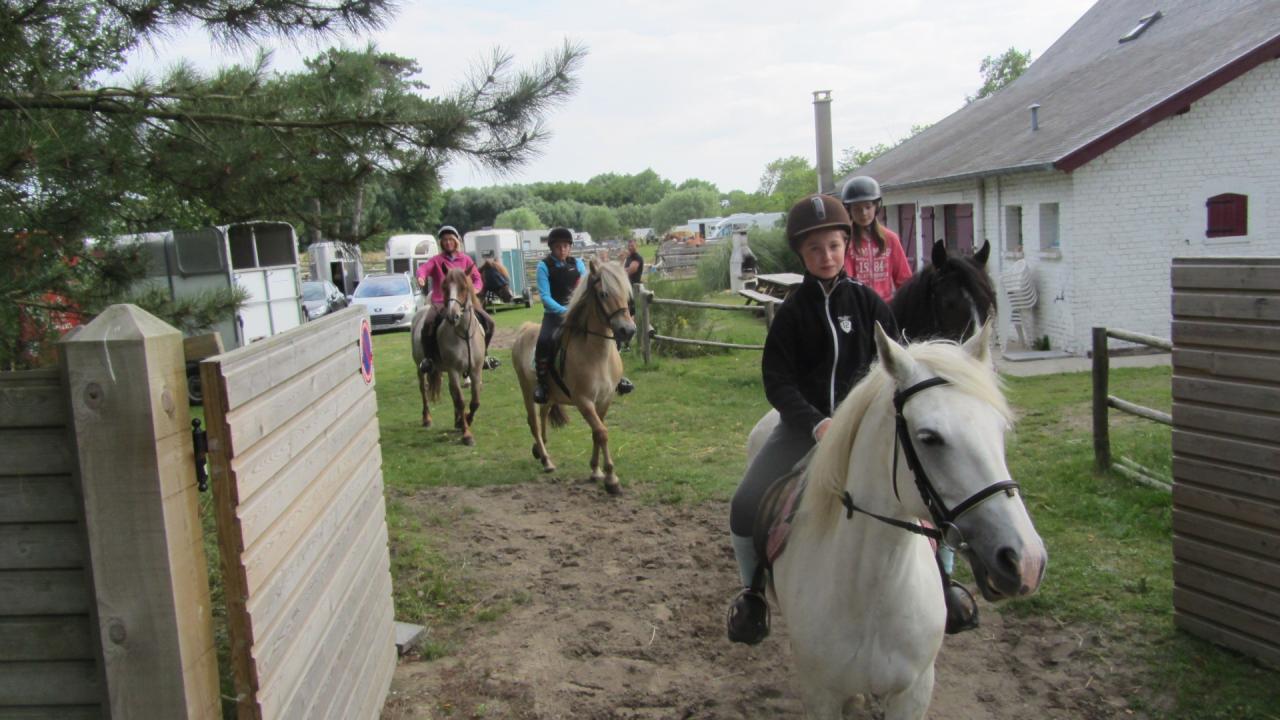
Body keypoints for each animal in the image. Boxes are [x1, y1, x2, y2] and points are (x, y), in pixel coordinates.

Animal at [412, 263, 486, 443]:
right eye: (445, 287)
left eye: (464, 287)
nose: (453, 316)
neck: (463, 333)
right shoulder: (454, 370)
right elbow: (460, 400)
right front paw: (467, 434)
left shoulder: (475, 370)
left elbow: (475, 401)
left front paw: (465, 420)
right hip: (420, 367)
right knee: (423, 390)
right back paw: (427, 419)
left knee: (451, 392)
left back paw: (457, 420)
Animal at [512, 258, 637, 491]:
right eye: (604, 294)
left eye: (626, 293)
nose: (628, 330)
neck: (597, 355)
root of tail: (524, 329)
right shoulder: (584, 401)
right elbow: (602, 432)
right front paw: (611, 478)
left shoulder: (605, 399)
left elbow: (597, 432)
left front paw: (596, 471)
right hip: (525, 388)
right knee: (533, 421)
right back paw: (546, 460)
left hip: (550, 394)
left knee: (543, 413)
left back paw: (539, 449)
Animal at [752, 324, 1044, 717]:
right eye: (929, 438)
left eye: (1000, 430)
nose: (1026, 561)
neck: (871, 594)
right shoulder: (820, 694)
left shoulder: (914, 691)